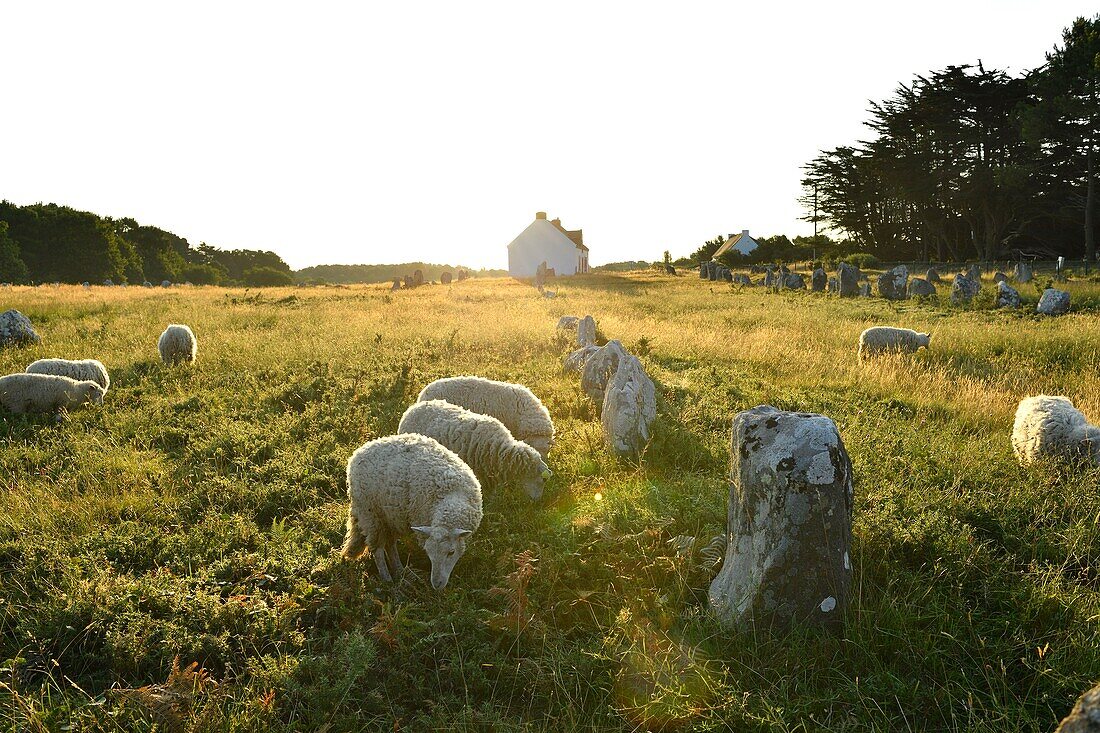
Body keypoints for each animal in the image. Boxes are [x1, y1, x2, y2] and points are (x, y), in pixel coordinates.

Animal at [341, 433, 484, 589]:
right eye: (428, 552)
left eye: (451, 552)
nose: (436, 584)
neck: (452, 494)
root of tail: (358, 452)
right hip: (370, 514)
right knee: (377, 549)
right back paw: (387, 580)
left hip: (390, 516)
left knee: (390, 544)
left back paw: (400, 571)